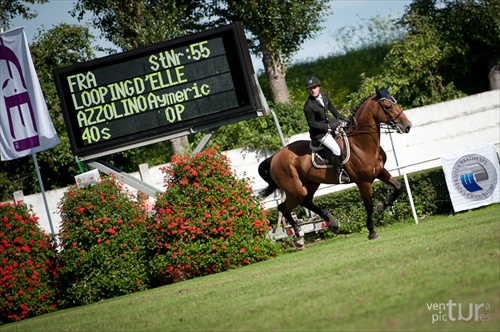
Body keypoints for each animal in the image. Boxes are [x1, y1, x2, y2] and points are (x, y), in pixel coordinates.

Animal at [258, 85, 410, 246]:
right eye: (387, 107)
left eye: (395, 102)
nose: (408, 126)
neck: (361, 144)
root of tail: (274, 157)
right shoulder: (363, 182)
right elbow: (368, 206)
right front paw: (372, 232)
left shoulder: (380, 171)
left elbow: (398, 187)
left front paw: (381, 207)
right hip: (295, 190)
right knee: (283, 207)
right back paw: (299, 236)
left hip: (311, 183)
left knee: (307, 201)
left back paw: (332, 223)